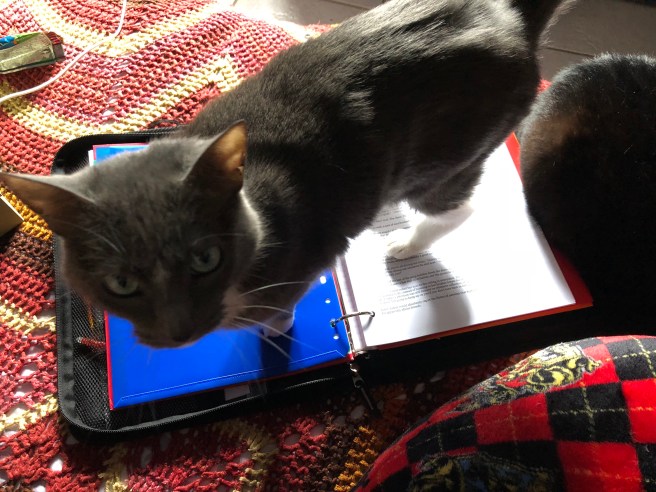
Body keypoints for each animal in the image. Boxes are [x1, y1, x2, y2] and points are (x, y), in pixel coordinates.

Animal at [1, 0, 568, 348]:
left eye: (206, 259)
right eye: (121, 283)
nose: (180, 331)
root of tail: (510, 17)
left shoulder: (295, 265)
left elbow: (278, 310)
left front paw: (273, 330)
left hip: (444, 156)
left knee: (460, 205)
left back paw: (404, 242)